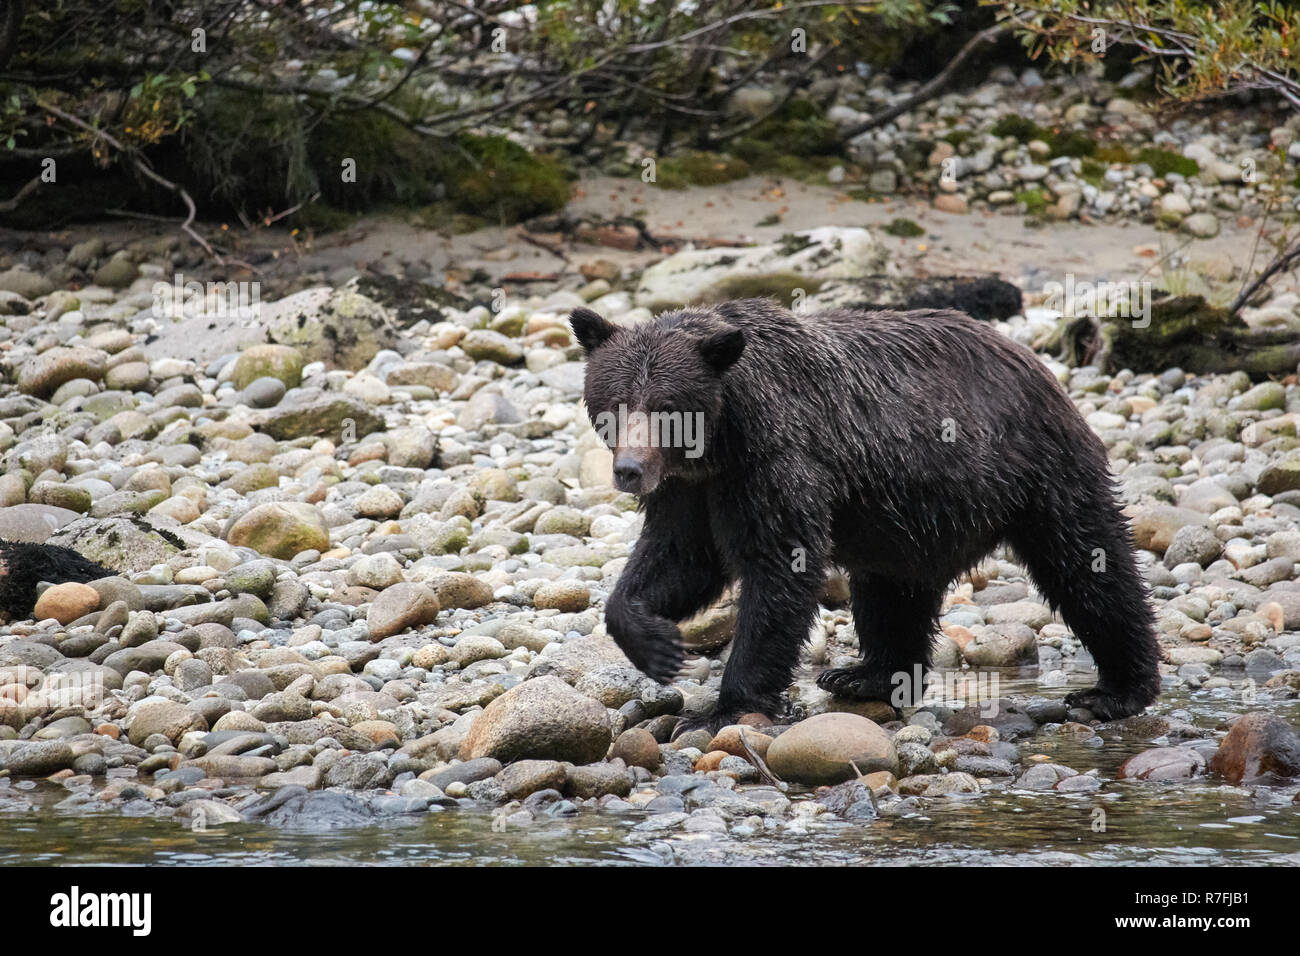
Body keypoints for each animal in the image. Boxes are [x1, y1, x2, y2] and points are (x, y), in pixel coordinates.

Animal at [569, 299, 1159, 733]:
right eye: (615, 401)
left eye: (667, 407)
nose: (628, 470)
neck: (720, 444)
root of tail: (1035, 362)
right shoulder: (690, 491)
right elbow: (678, 558)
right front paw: (656, 644)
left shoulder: (775, 463)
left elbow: (778, 569)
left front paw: (720, 709)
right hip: (910, 515)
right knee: (890, 593)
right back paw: (866, 675)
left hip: (1037, 471)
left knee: (1089, 566)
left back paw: (1118, 688)